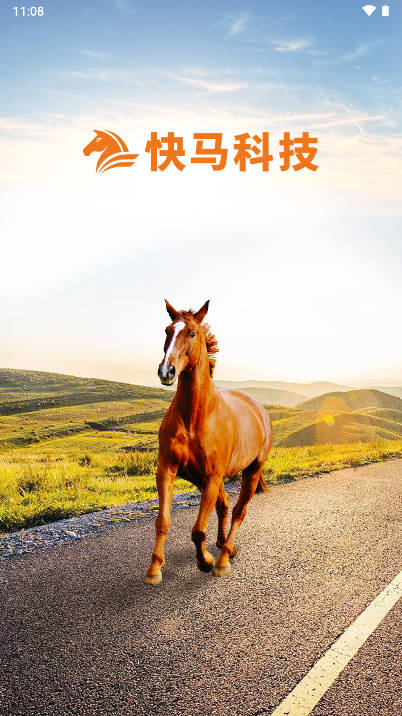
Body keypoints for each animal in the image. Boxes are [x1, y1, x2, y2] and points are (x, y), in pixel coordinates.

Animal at [145, 299, 273, 585]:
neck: (194, 417)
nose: (166, 371)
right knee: (224, 507)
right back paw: (225, 545)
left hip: (251, 471)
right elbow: (163, 520)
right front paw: (154, 567)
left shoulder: (211, 478)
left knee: (238, 511)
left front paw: (205, 561)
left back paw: (224, 558)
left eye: (192, 333)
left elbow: (197, 530)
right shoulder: (168, 470)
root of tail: (259, 409)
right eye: (167, 330)